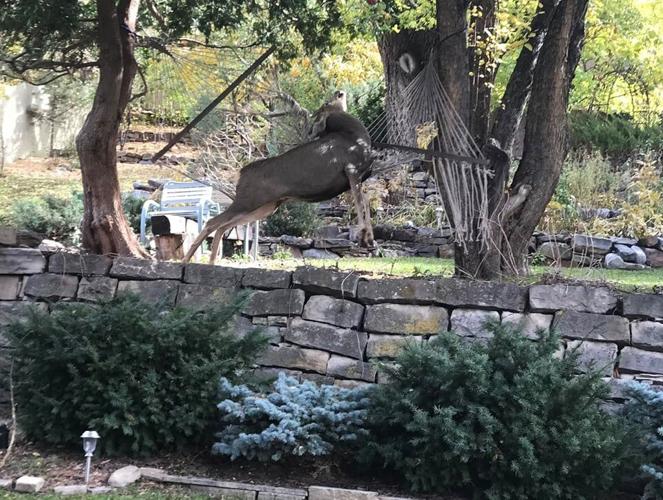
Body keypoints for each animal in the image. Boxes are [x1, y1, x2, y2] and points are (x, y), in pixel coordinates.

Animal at [183, 108, 375, 264]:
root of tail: (241, 175)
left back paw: (207, 261)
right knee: (213, 222)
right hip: (248, 202)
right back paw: (190, 260)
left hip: (264, 207)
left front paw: (369, 239)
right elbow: (361, 204)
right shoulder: (351, 170)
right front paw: (364, 237)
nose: (310, 131)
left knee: (222, 225)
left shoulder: (354, 177)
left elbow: (364, 203)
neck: (356, 136)